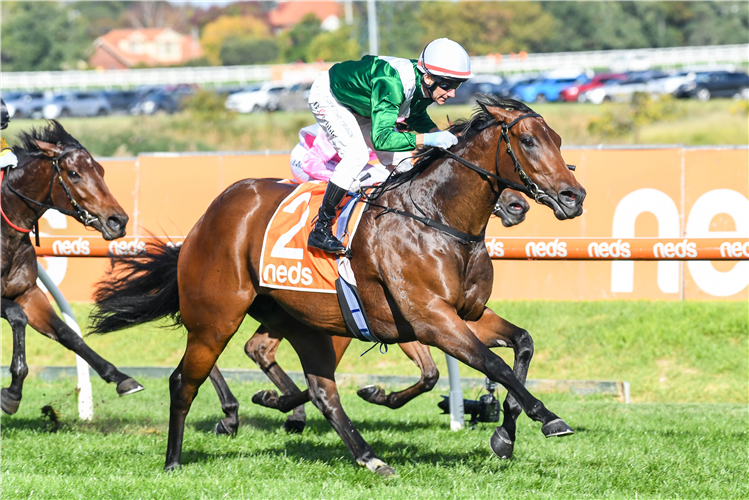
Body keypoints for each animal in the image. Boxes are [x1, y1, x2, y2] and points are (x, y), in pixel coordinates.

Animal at [0, 120, 143, 414]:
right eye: (74, 174)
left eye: (101, 170)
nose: (118, 221)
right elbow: (17, 316)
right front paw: (12, 392)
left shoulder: (28, 293)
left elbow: (69, 334)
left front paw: (120, 377)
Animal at [205, 189, 532, 436]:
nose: (519, 205)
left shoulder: (413, 321)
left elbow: (430, 373)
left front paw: (377, 394)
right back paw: (236, 413)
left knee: (256, 347)